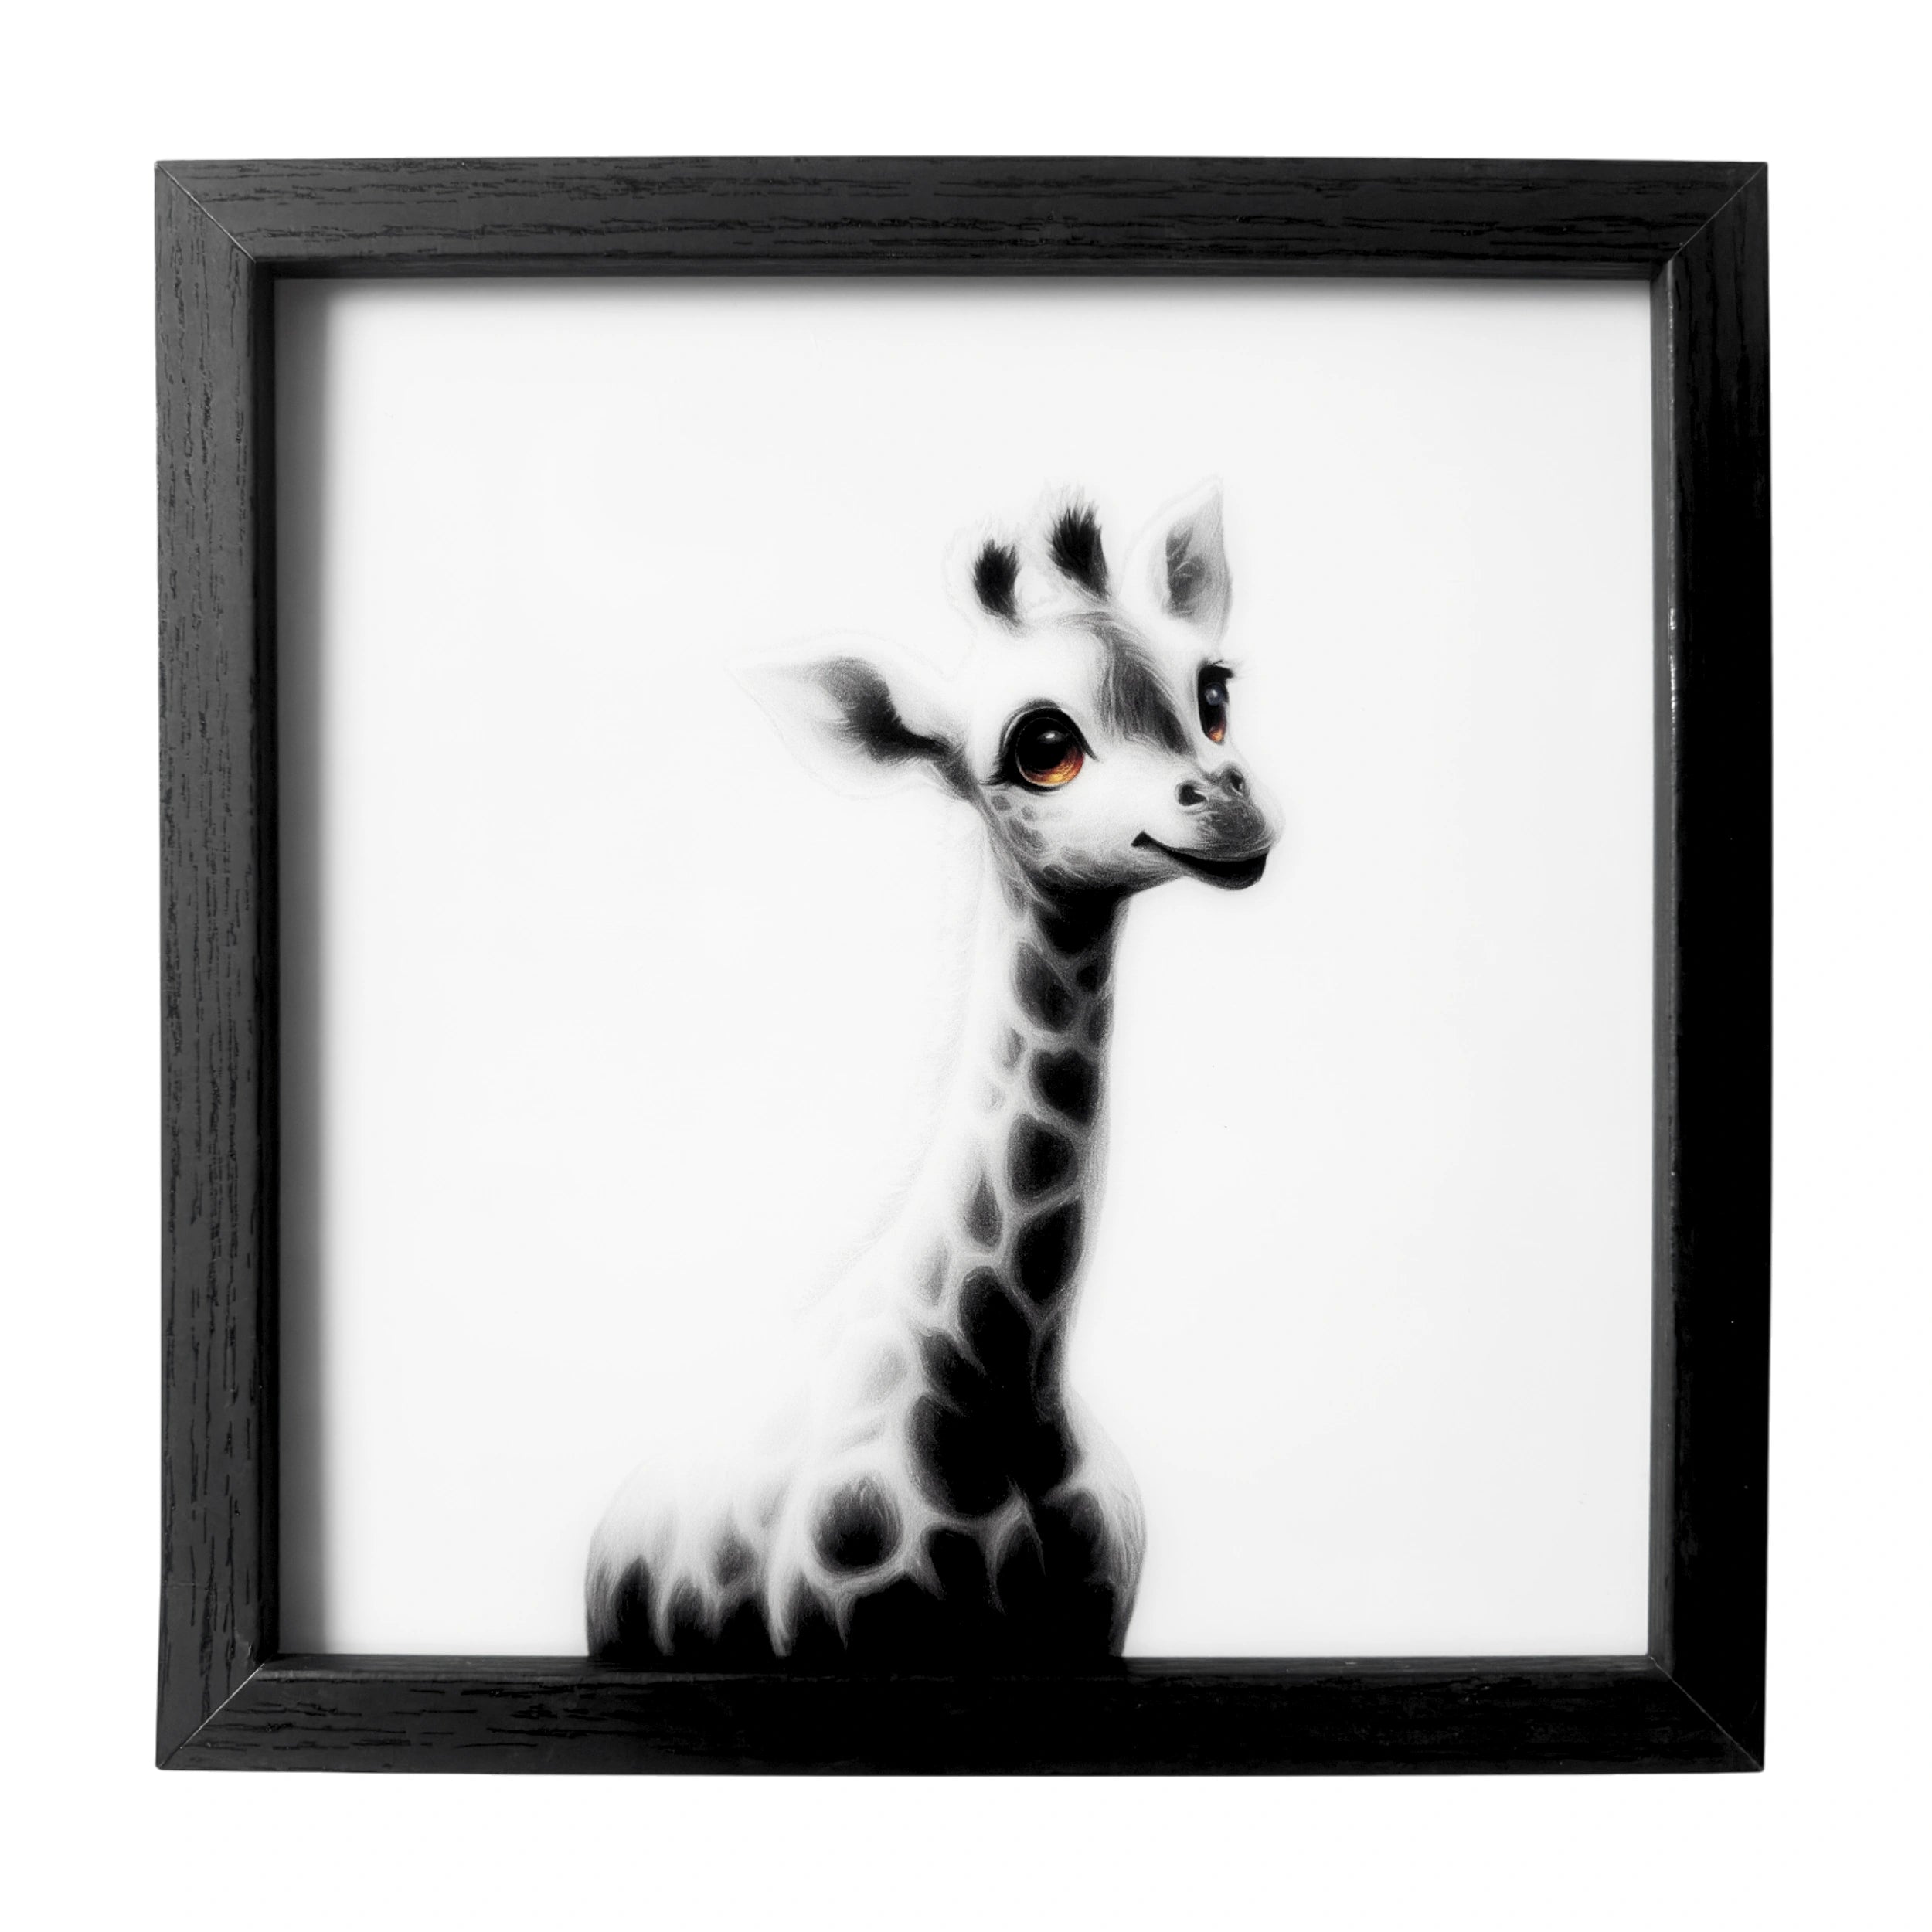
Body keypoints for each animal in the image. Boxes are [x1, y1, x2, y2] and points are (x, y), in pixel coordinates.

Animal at [586, 483, 1280, 1665]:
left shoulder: (1095, 1636)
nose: (1234, 811)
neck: (1006, 1387)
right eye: (1042, 745)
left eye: (1216, 693)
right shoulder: (857, 1640)